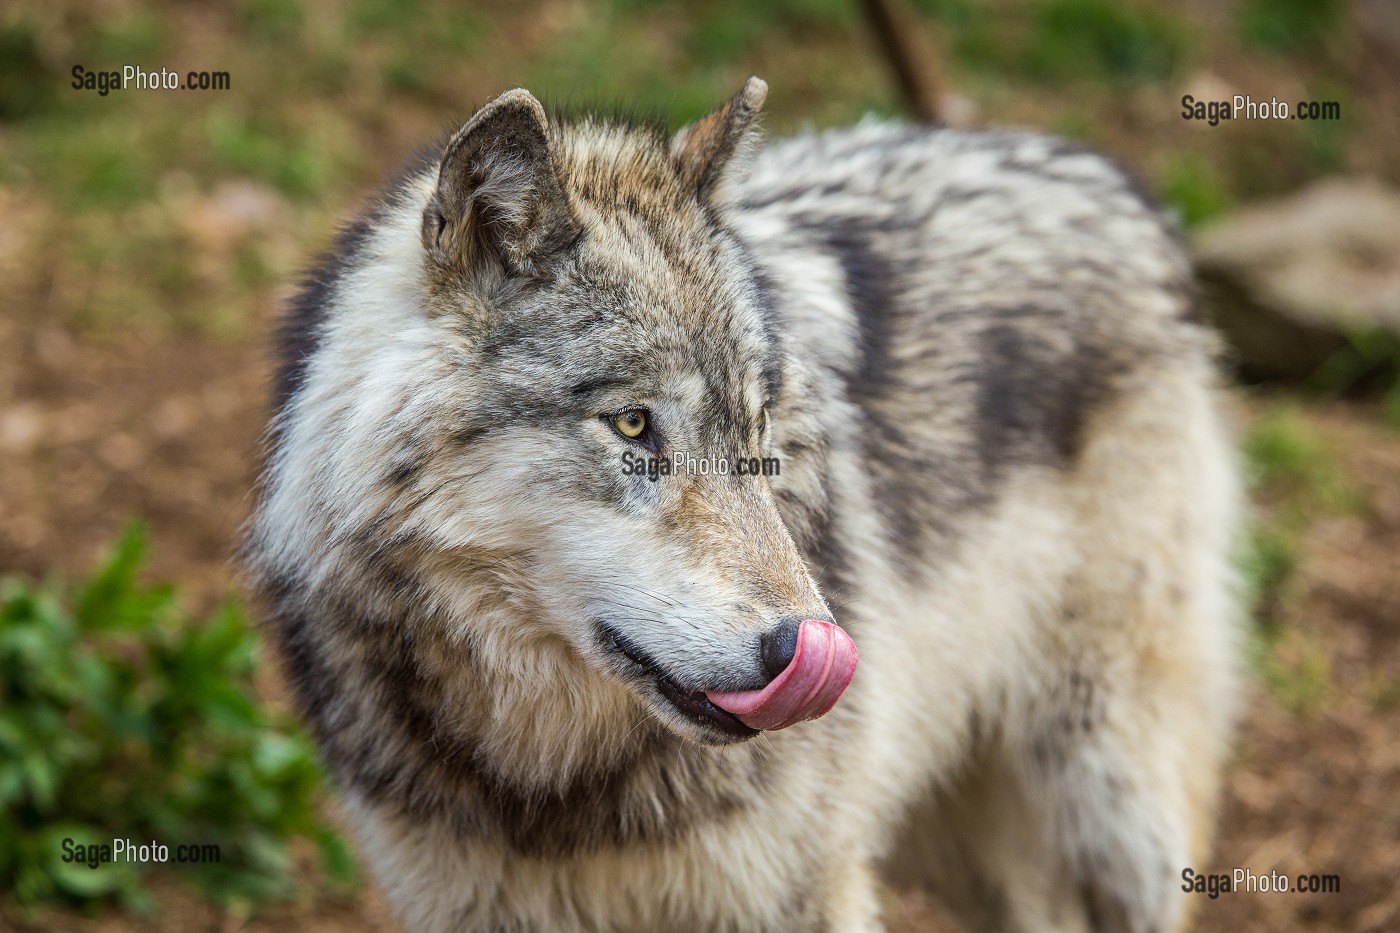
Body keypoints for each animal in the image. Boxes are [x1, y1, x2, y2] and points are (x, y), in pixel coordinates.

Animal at [246, 76, 1243, 924]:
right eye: (634, 425)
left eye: (757, 431)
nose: (805, 649)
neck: (550, 784)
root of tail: (1103, 171)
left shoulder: (799, 890)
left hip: (1110, 792)